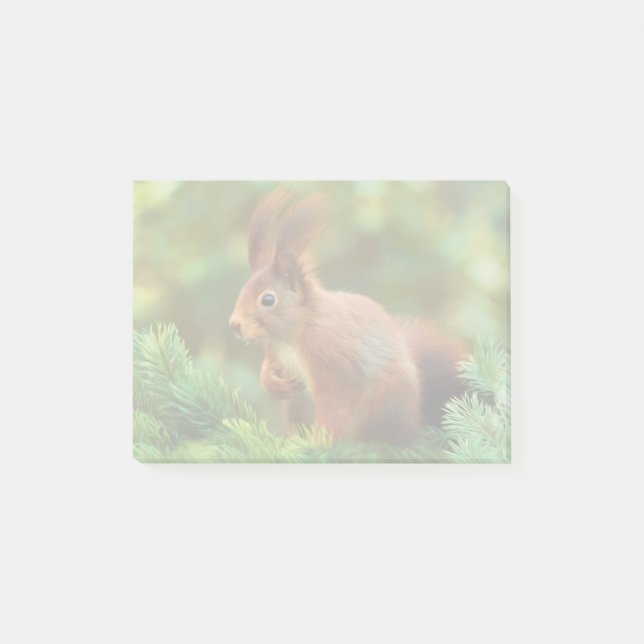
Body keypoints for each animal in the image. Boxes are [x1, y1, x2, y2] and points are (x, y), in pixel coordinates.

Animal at [228, 187, 466, 445]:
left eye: (268, 300)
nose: (234, 324)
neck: (293, 335)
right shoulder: (276, 353)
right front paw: (270, 381)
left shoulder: (333, 363)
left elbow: (335, 409)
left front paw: (316, 443)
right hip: (297, 404)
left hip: (385, 401)